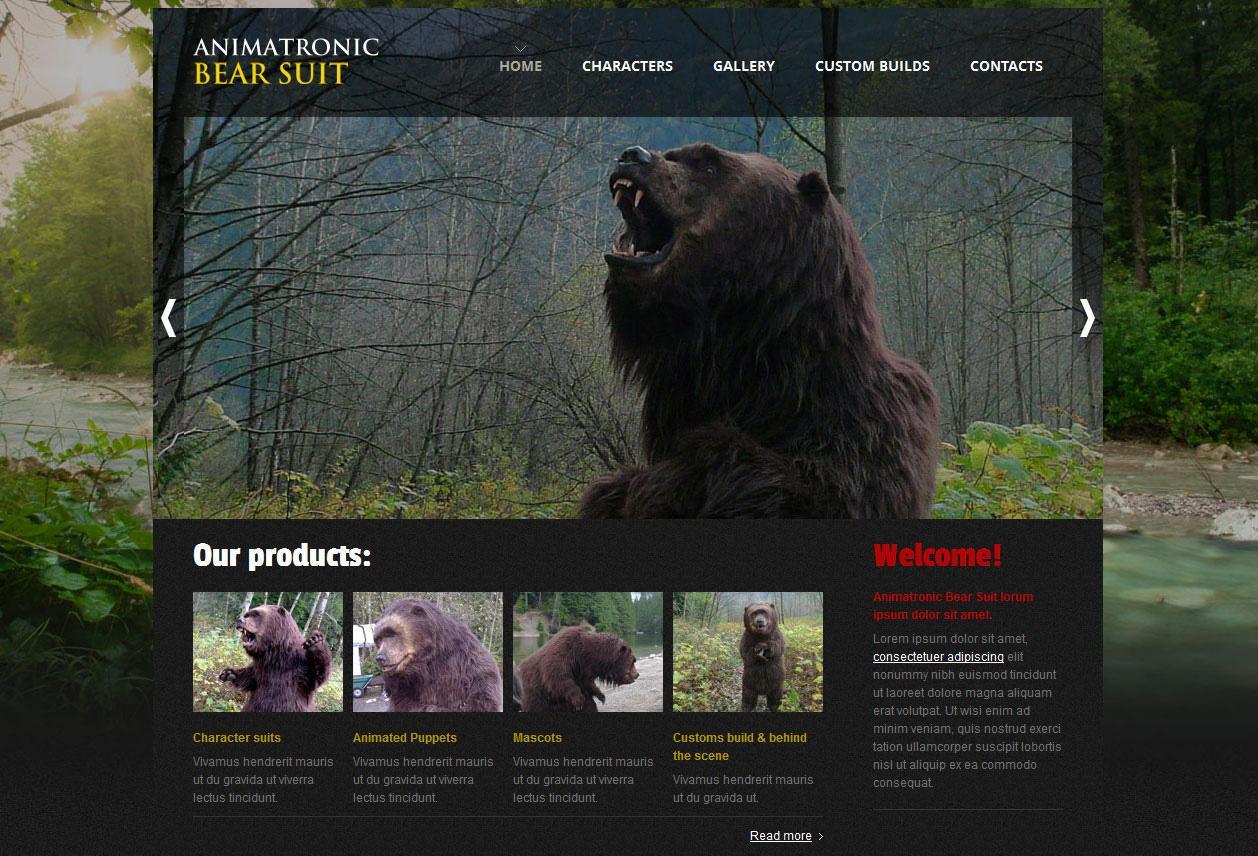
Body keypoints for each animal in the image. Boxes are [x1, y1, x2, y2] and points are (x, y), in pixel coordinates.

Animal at [371, 597, 503, 712]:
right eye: (378, 638)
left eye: (391, 633)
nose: (380, 657)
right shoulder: (402, 685)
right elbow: (404, 702)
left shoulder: (467, 662)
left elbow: (482, 698)